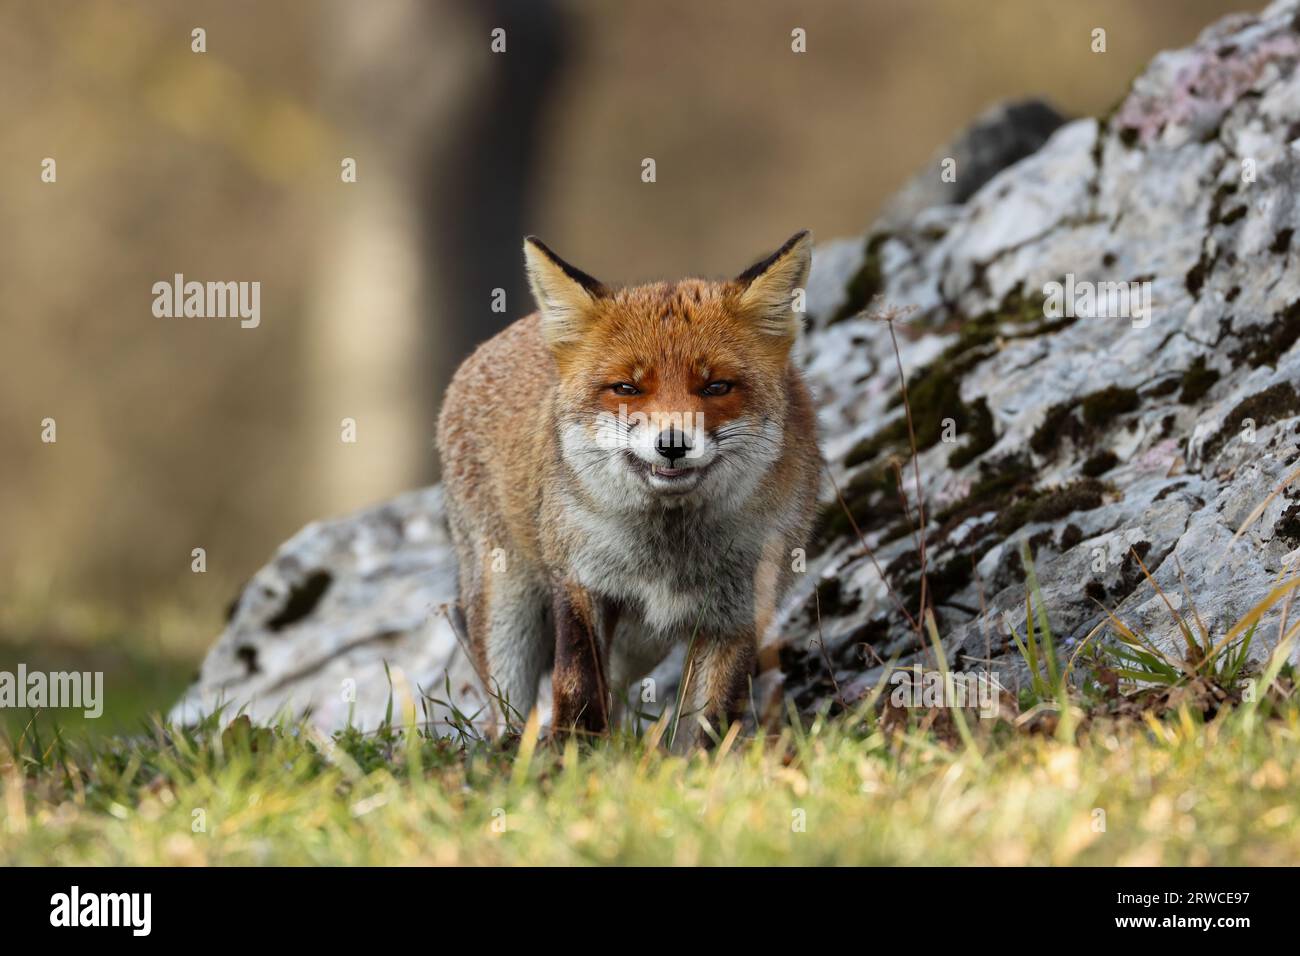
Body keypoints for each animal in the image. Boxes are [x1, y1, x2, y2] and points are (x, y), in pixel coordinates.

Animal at [436, 230, 823, 744]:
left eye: (716, 386)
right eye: (626, 388)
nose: (673, 444)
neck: (669, 547)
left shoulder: (737, 611)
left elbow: (707, 722)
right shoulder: (580, 580)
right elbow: (576, 688)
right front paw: (572, 756)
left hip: (642, 643)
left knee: (618, 691)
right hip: (507, 609)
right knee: (508, 710)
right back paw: (512, 752)